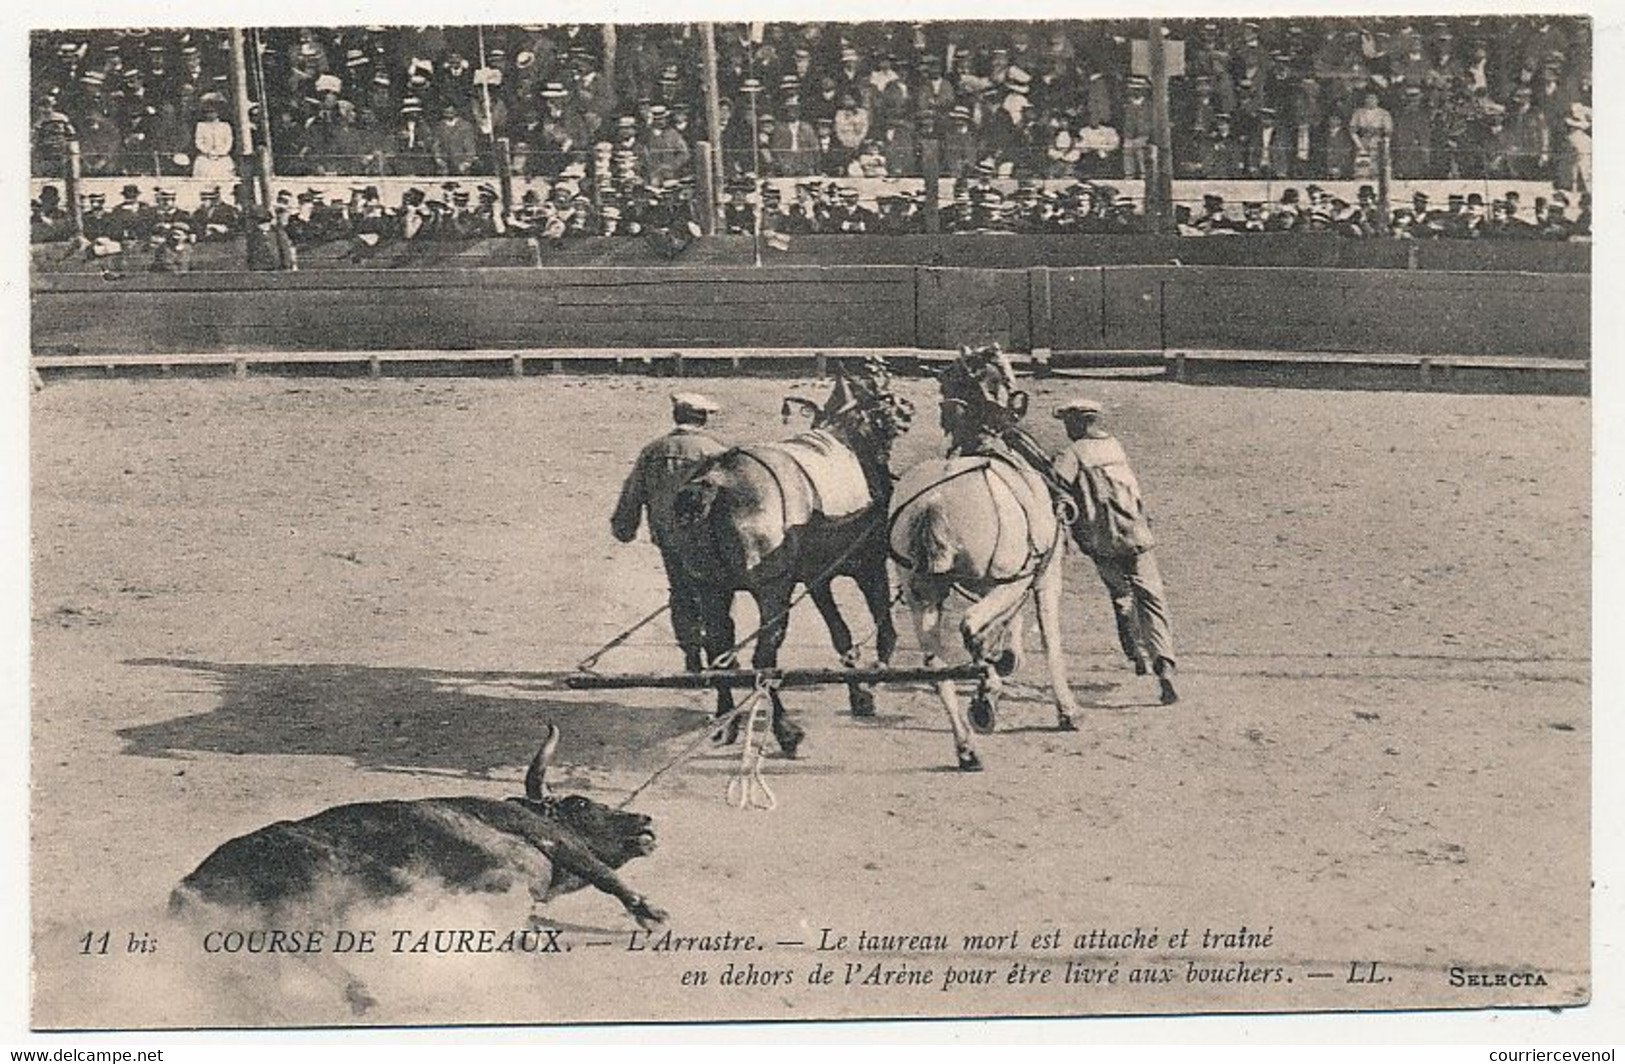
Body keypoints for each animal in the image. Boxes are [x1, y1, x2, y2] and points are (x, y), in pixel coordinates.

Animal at [169, 724, 666, 935]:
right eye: (580, 803)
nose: (645, 822)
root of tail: (189, 884)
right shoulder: (552, 839)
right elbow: (606, 875)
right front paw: (651, 913)